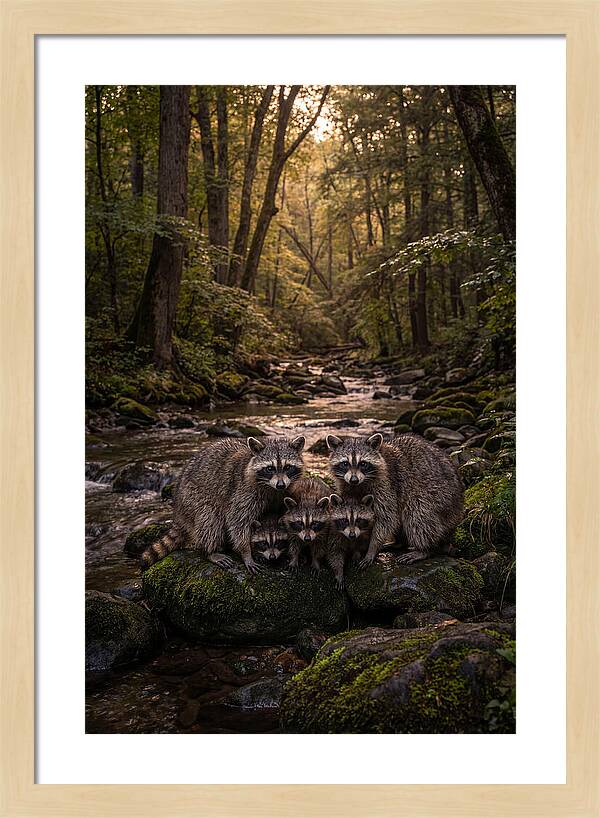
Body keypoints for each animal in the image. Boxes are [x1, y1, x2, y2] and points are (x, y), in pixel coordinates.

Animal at [140, 435, 305, 573]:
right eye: (270, 468)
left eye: (288, 467)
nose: (280, 484)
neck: (271, 488)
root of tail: (178, 509)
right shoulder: (243, 492)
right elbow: (238, 522)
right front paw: (246, 552)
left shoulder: (284, 493)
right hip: (192, 498)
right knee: (210, 520)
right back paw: (210, 551)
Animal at [326, 432, 464, 568]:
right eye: (345, 463)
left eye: (363, 464)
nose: (354, 480)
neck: (359, 484)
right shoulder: (345, 485)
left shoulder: (387, 484)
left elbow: (386, 517)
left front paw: (372, 547)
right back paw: (399, 543)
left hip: (439, 498)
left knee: (417, 514)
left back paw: (424, 549)